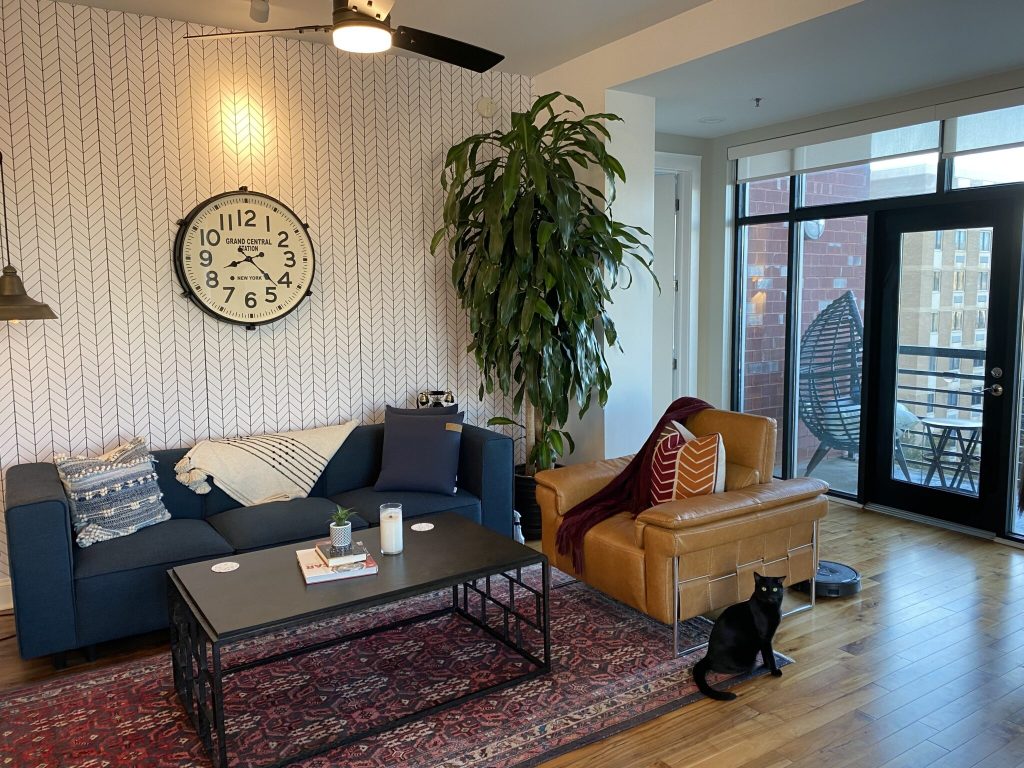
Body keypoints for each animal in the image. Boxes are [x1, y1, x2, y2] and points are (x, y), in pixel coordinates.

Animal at [692, 573, 786, 704]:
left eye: (775, 589)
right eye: (763, 589)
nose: (770, 596)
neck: (771, 608)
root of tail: (708, 656)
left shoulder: (764, 640)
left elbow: (765, 654)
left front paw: (766, 666)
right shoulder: (765, 638)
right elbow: (771, 655)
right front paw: (774, 671)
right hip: (745, 659)